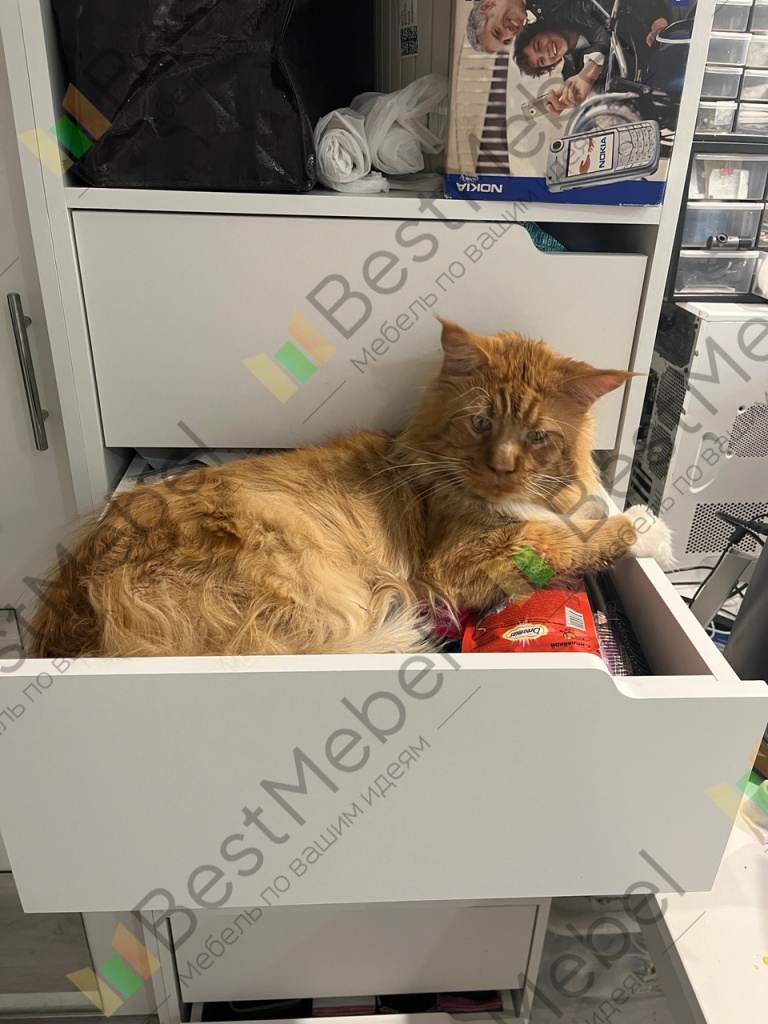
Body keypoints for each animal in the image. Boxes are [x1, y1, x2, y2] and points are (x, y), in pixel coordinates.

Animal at [29, 320, 671, 658]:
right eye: (480, 423)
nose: (501, 469)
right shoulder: (458, 561)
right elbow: (568, 535)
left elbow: (574, 516)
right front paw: (645, 527)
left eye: (537, 435)